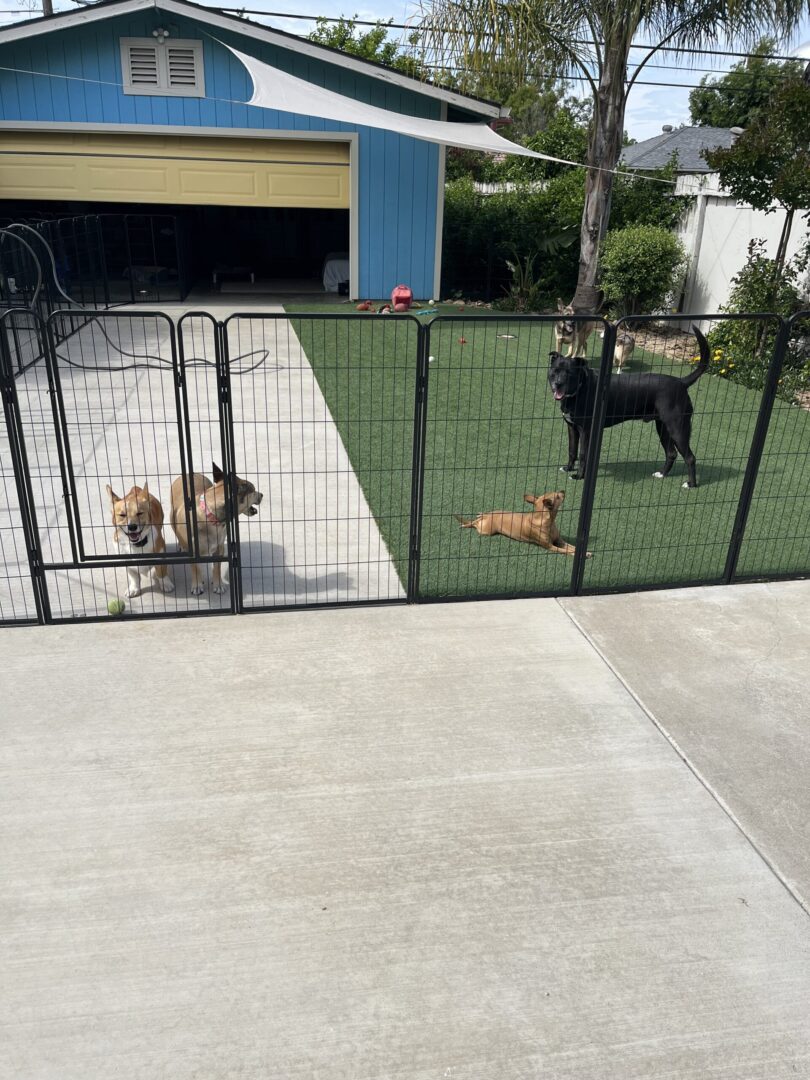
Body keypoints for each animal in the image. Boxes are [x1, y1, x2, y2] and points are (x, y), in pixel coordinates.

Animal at [170, 460, 264, 596]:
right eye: (253, 491)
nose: (261, 494)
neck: (209, 514)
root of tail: (189, 473)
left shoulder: (219, 547)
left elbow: (217, 567)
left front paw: (218, 584)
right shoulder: (193, 552)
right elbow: (195, 567)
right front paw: (197, 585)